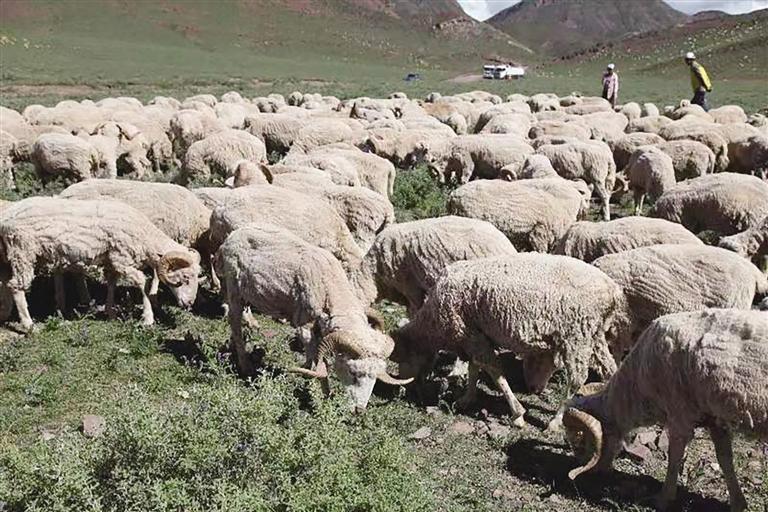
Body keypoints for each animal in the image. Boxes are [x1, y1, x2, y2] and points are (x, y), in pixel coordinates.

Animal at [0, 197, 200, 330]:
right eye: (185, 277)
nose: (190, 303)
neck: (145, 236)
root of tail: (6, 217)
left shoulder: (111, 260)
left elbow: (111, 283)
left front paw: (110, 312)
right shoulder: (121, 258)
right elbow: (143, 282)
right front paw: (148, 318)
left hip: (7, 256)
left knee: (6, 283)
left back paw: (4, 314)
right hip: (22, 251)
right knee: (16, 286)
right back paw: (29, 325)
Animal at [218, 224, 410, 410]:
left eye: (375, 378)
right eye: (353, 373)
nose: (359, 410)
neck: (330, 287)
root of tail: (232, 236)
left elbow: (313, 359)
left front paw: (307, 374)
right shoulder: (305, 326)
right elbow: (319, 361)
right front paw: (324, 394)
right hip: (234, 289)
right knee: (235, 323)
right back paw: (245, 365)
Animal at [391, 254, 631, 427]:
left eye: (401, 358)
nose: (406, 388)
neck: (433, 322)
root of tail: (613, 290)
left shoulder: (470, 334)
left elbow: (494, 372)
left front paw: (517, 415)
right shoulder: (476, 333)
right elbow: (474, 367)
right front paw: (467, 398)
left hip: (576, 335)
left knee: (576, 379)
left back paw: (555, 422)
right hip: (594, 334)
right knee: (610, 370)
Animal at [562, 308, 768, 512]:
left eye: (581, 440)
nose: (585, 472)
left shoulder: (679, 414)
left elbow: (674, 458)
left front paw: (663, 499)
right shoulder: (716, 418)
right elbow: (725, 459)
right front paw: (738, 503)